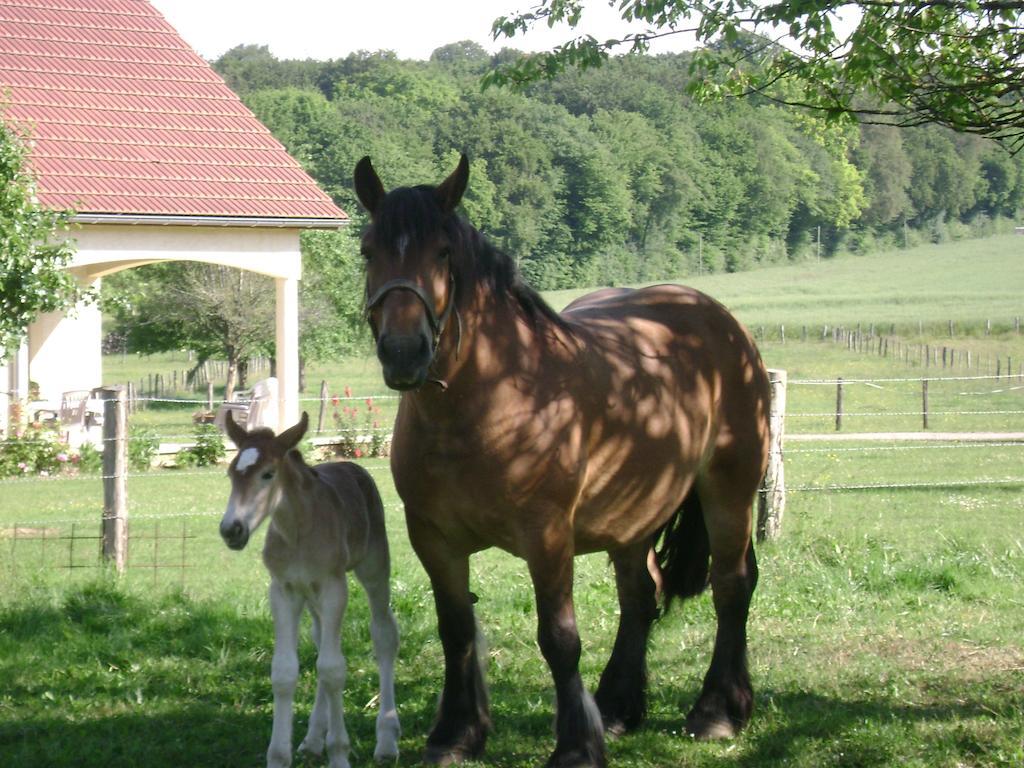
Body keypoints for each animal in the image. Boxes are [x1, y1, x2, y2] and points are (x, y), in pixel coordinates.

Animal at [220, 415, 399, 768]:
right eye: (232, 473)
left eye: (268, 474)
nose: (231, 529)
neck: (297, 531)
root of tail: (351, 466)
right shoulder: (283, 591)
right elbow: (285, 671)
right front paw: (279, 756)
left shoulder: (333, 589)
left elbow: (333, 669)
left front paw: (339, 753)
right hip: (311, 596)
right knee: (320, 642)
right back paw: (314, 739)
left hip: (373, 569)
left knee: (383, 635)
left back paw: (386, 740)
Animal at [352, 153, 770, 765]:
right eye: (368, 250)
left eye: (443, 252)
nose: (404, 352)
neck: (492, 398)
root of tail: (722, 323)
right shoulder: (434, 538)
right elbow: (456, 630)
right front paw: (457, 732)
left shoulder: (547, 537)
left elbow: (559, 638)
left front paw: (575, 745)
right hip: (634, 514)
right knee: (639, 597)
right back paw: (618, 707)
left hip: (729, 493)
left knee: (731, 586)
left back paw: (717, 710)